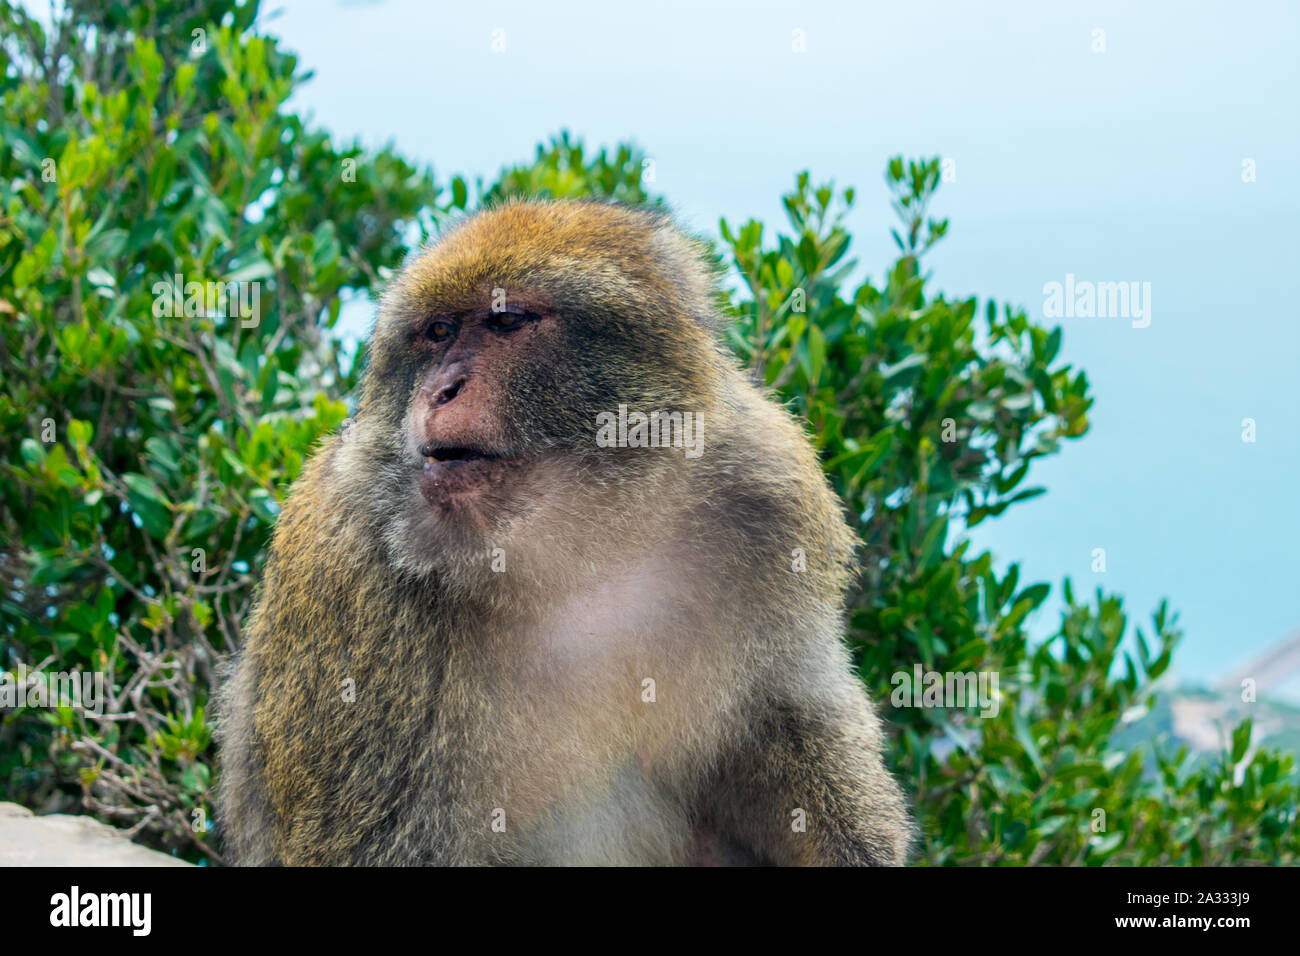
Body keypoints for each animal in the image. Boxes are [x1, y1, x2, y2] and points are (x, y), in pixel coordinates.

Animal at [215, 199, 914, 866]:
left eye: (505, 323)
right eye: (438, 333)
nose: (440, 389)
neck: (581, 551)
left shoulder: (770, 496)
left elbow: (789, 721)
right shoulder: (346, 554)